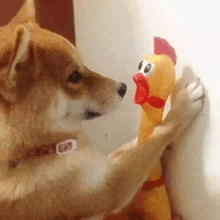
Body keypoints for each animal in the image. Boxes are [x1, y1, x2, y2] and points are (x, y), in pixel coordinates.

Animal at [0, 0, 205, 220]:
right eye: (74, 77)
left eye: (83, 64)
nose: (123, 87)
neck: (26, 153)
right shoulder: (110, 188)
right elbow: (153, 139)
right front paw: (183, 104)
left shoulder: (99, 168)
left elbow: (135, 143)